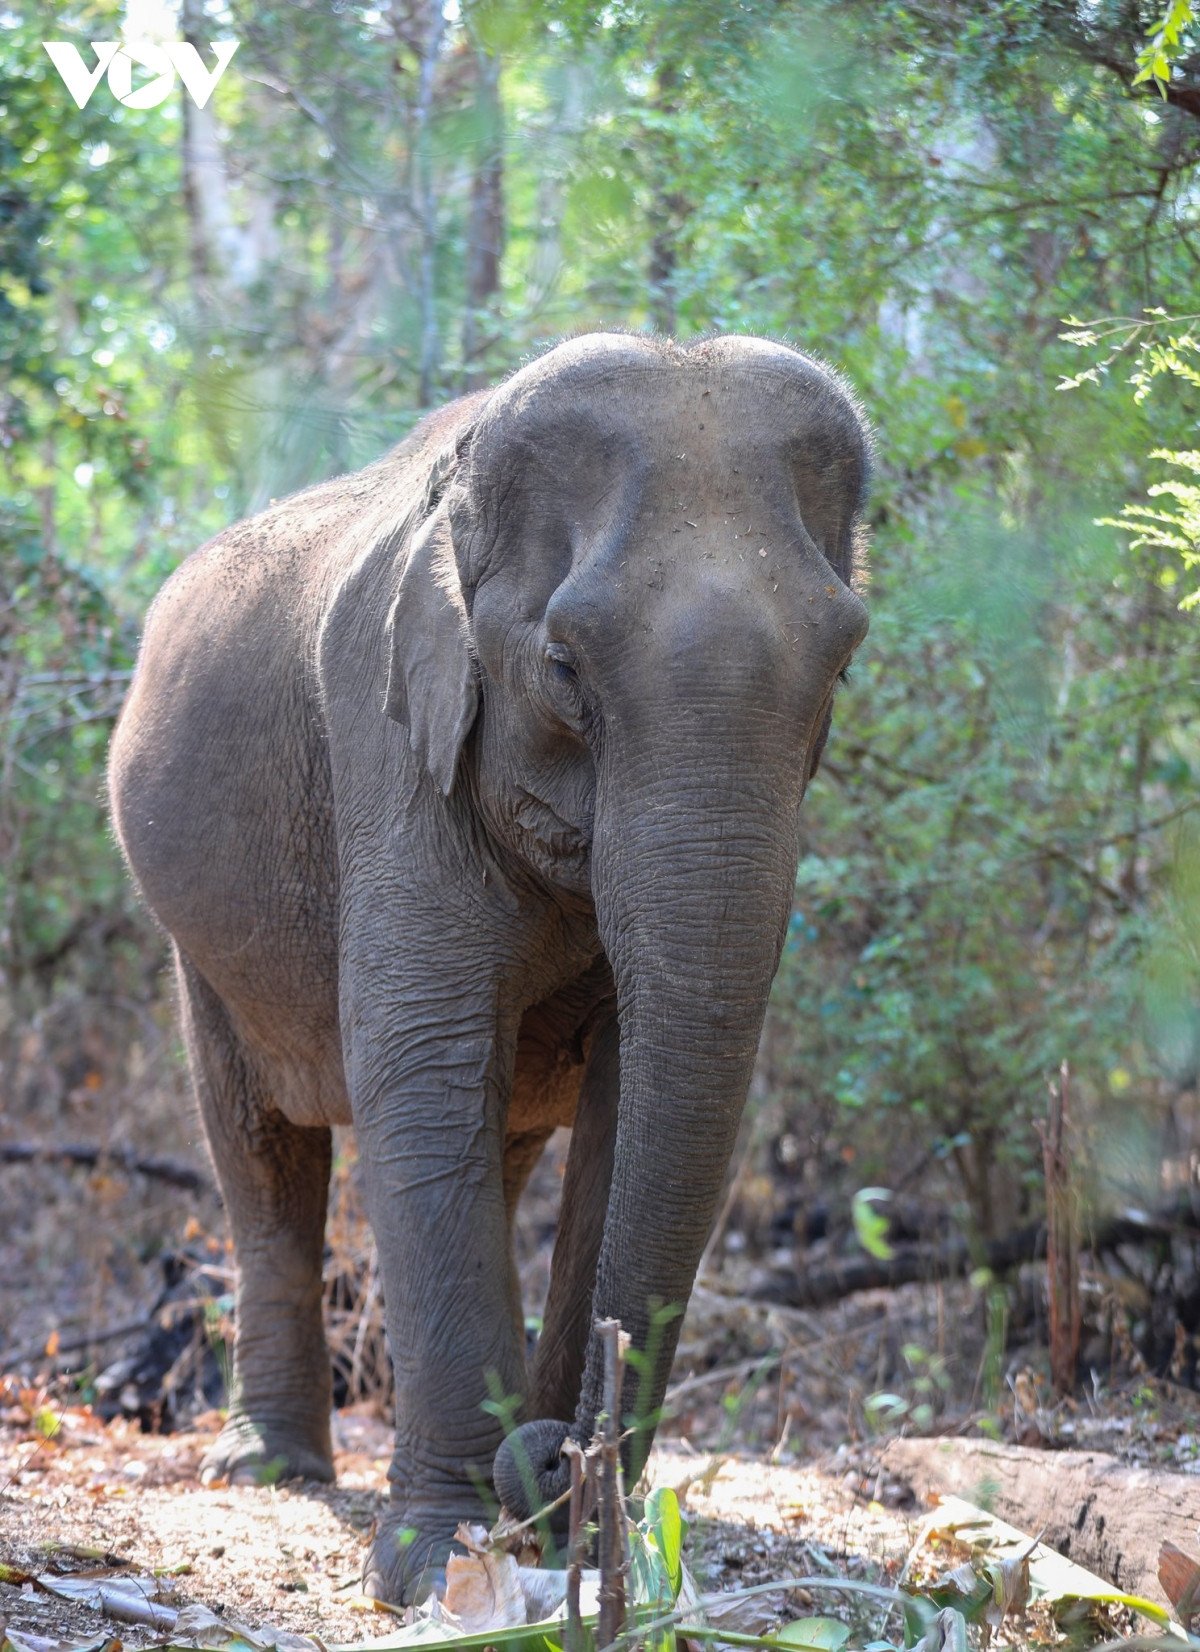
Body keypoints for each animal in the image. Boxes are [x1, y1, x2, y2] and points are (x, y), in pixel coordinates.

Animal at [108, 332, 872, 1599]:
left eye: (845, 664)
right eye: (563, 664)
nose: (558, 1458)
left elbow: (629, 1100)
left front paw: (574, 1545)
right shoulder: (392, 744)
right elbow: (420, 1065)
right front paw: (437, 1565)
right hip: (199, 943)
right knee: (260, 1153)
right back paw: (267, 1467)